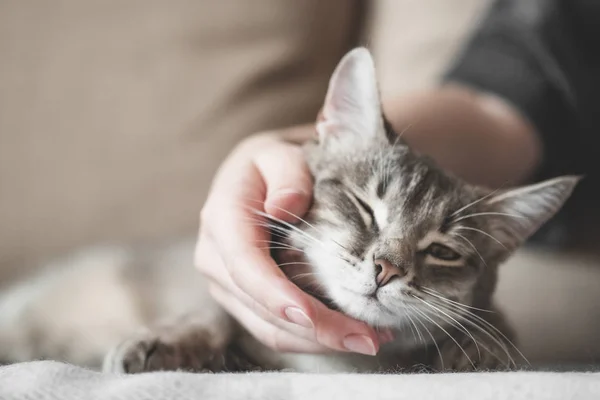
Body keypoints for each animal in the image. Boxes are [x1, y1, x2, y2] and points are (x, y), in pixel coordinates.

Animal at [1, 47, 580, 376]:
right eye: (365, 207)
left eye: (443, 251)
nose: (386, 268)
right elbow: (211, 311)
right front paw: (166, 341)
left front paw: (483, 346)